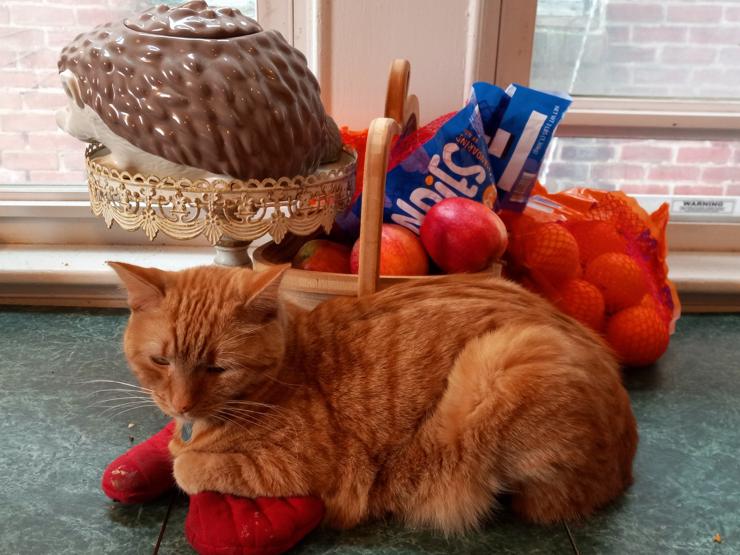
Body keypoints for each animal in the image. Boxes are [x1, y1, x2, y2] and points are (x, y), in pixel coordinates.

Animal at [108, 262, 636, 532]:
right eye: (160, 361)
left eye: (218, 368)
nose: (180, 406)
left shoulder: (302, 467)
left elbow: (197, 466)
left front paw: (187, 459)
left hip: (508, 360)